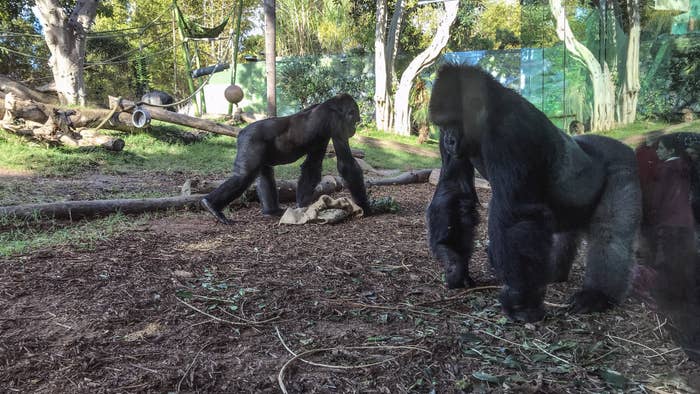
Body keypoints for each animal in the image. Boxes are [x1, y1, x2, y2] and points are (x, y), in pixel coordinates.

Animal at [200, 93, 370, 225]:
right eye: (355, 120)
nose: (354, 129)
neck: (331, 105)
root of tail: (241, 132)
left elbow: (312, 166)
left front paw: (303, 206)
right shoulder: (336, 122)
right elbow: (346, 164)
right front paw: (365, 206)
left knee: (265, 173)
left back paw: (272, 211)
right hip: (250, 140)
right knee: (244, 175)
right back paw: (211, 206)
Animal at [424, 65, 644, 324]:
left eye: (454, 122)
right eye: (442, 125)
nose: (449, 140)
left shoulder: (511, 131)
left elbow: (516, 214)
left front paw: (520, 302)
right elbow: (453, 190)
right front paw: (453, 261)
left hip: (625, 167)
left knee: (610, 234)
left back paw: (597, 295)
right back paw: (552, 273)